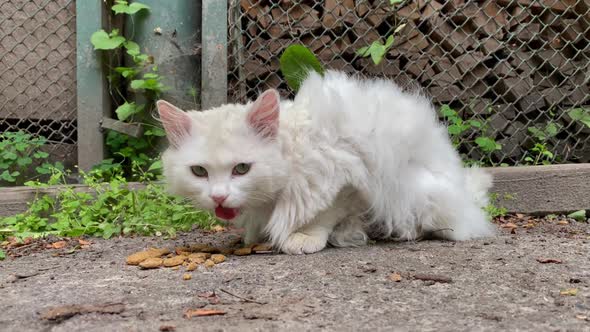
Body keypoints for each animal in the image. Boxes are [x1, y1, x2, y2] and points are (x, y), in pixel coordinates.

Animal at [158, 71, 500, 255]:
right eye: (199, 172)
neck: (294, 152)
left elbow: (324, 213)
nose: (218, 197)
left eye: (241, 169)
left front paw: (303, 237)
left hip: (418, 190)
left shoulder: (349, 176)